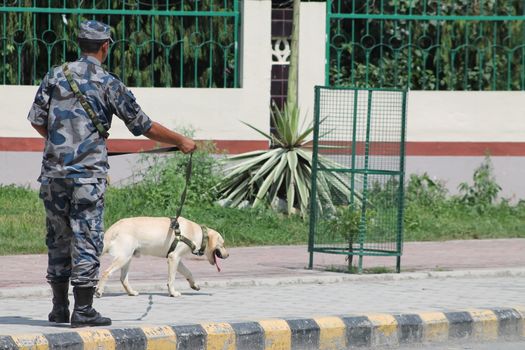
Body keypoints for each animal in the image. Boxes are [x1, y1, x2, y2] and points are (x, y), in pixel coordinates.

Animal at [93, 216, 227, 298]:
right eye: (223, 244)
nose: (228, 255)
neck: (196, 233)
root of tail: (114, 227)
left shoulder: (177, 260)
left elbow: (188, 272)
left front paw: (194, 285)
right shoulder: (173, 258)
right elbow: (171, 279)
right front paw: (173, 293)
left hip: (127, 258)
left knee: (123, 279)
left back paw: (131, 292)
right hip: (123, 257)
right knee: (106, 272)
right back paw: (99, 291)